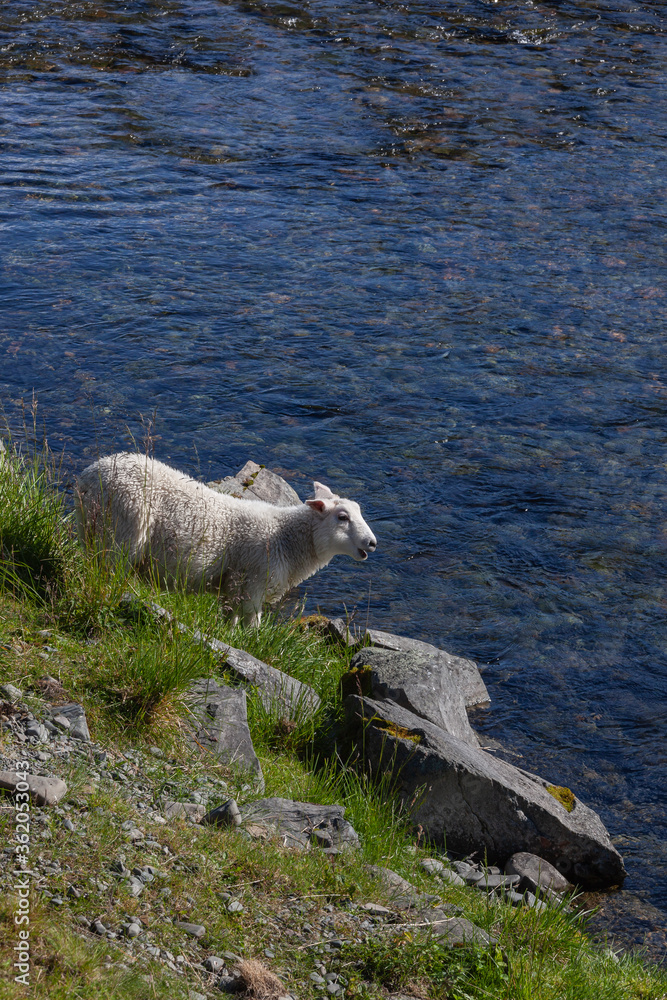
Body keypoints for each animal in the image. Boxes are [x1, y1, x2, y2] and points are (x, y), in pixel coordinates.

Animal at [75, 452, 377, 625]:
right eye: (342, 517)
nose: (372, 543)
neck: (286, 538)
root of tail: (89, 476)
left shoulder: (232, 586)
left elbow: (231, 620)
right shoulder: (253, 582)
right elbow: (252, 624)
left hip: (91, 529)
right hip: (122, 531)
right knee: (108, 571)